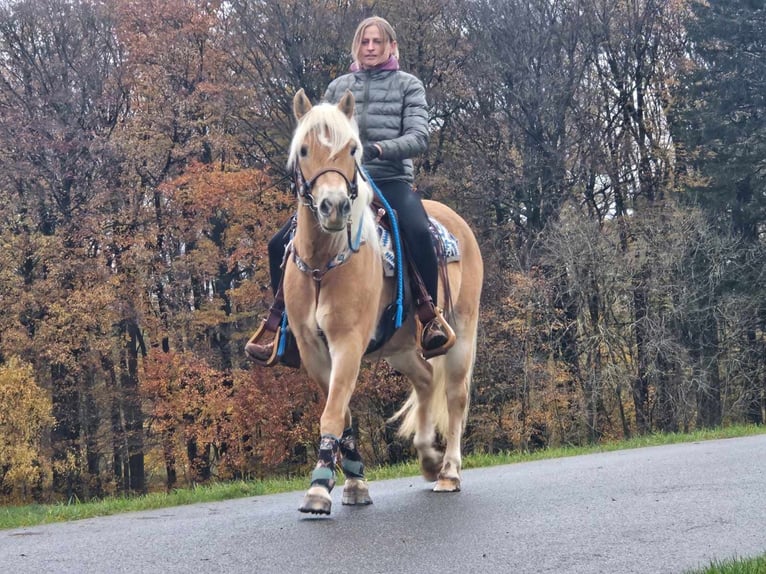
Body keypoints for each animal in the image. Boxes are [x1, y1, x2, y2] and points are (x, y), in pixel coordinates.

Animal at [284, 90, 484, 516]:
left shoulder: (347, 344)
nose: (333, 207)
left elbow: (332, 413)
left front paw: (318, 489)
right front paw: (354, 483)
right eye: (304, 149)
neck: (324, 265)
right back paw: (428, 459)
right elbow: (342, 412)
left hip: (462, 330)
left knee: (455, 397)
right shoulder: (314, 353)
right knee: (424, 381)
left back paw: (448, 473)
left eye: (353, 149)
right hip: (401, 346)